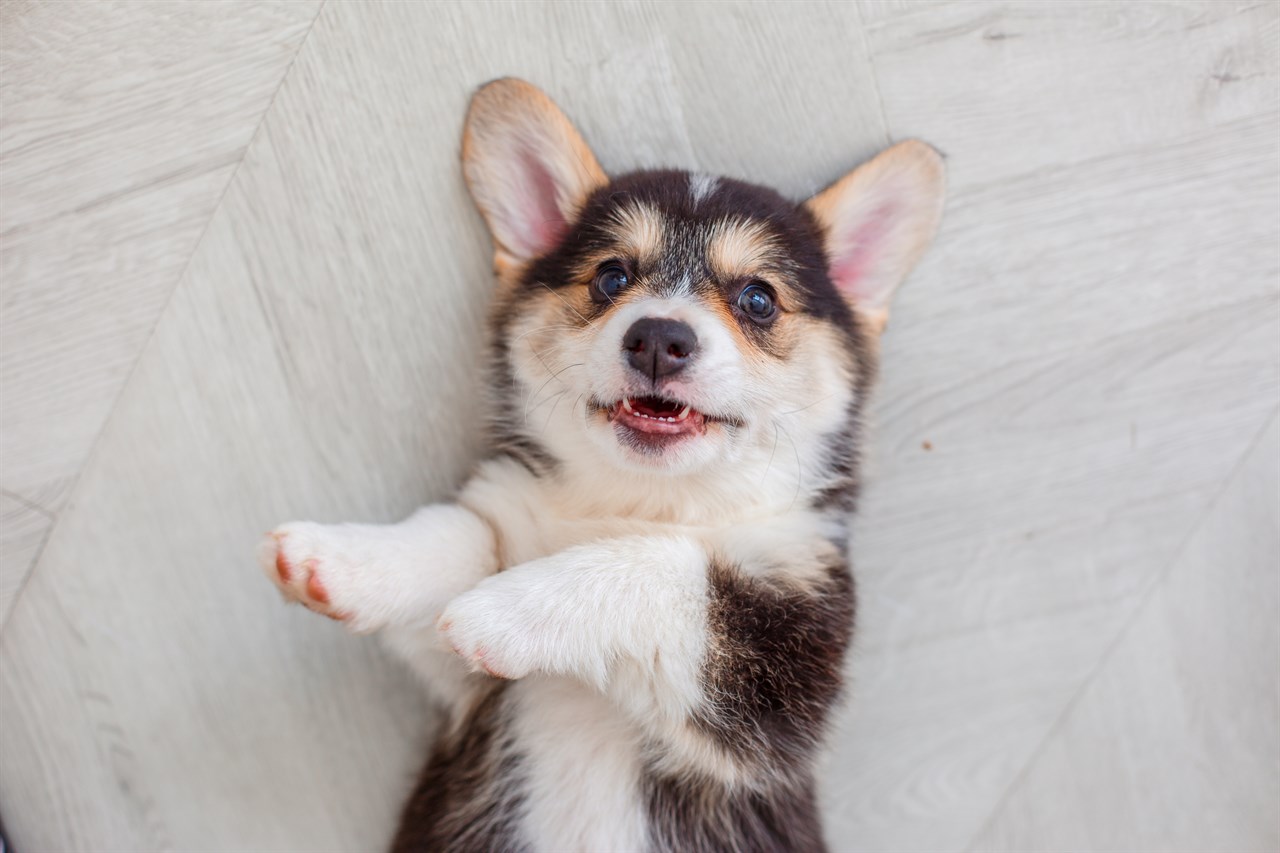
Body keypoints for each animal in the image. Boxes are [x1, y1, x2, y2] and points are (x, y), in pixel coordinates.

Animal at [259, 76, 947, 845]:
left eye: (758, 298)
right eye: (613, 277)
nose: (659, 339)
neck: (640, 500)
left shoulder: (786, 672)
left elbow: (663, 567)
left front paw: (504, 609)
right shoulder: (461, 669)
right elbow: (460, 534)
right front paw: (341, 558)